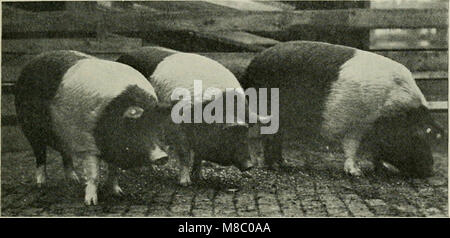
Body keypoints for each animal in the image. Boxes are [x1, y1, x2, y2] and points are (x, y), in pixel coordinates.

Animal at [14, 50, 169, 205]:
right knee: (40, 155)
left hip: (63, 136)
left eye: (156, 126)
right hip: (30, 130)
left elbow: (114, 171)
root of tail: (33, 61)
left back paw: (74, 180)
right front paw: (91, 203)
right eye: (137, 126)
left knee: (66, 155)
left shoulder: (112, 148)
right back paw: (42, 185)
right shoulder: (88, 144)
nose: (162, 157)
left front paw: (119, 193)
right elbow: (94, 175)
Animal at [116, 47, 260, 186]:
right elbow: (185, 155)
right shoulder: (177, 130)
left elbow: (199, 156)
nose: (249, 166)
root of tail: (122, 56)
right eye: (230, 134)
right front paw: (185, 183)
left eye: (245, 133)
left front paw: (200, 178)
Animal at [243, 41, 442, 178]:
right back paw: (276, 167)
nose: (431, 171)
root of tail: (253, 64)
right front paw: (356, 173)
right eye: (416, 135)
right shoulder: (354, 125)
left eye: (429, 133)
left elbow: (376, 152)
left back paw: (284, 163)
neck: (388, 109)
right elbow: (351, 148)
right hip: (270, 111)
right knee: (269, 138)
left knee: (276, 138)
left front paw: (382, 169)